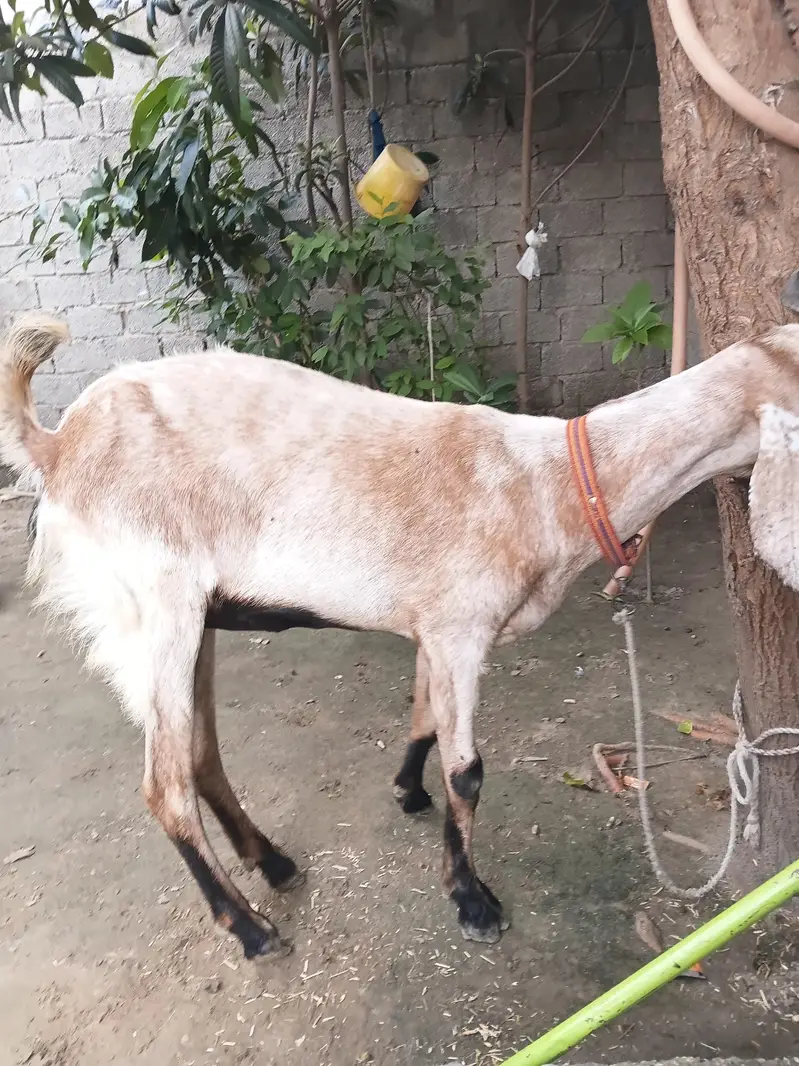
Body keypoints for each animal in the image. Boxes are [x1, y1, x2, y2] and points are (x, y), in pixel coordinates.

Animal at [2, 312, 798, 958]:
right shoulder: (462, 627)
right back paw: (251, 929)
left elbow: (422, 718)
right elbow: (467, 771)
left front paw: (407, 792)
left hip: (194, 618)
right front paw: (472, 901)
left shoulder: (435, 627)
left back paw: (273, 862)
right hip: (152, 607)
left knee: (199, 754)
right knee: (164, 785)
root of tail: (58, 447)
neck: (552, 487)